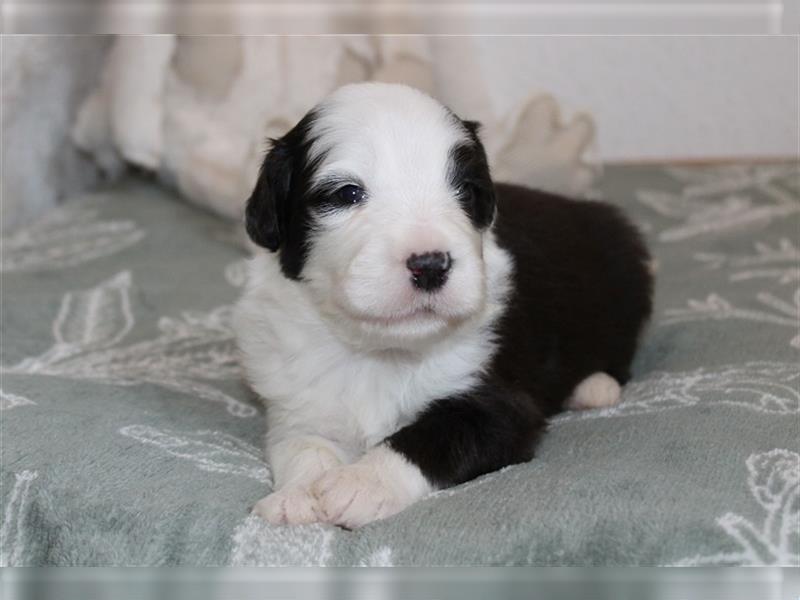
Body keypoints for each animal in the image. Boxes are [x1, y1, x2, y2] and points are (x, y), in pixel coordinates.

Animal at [234, 82, 652, 528]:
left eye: (465, 191)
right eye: (347, 193)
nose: (430, 265)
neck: (381, 352)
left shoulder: (497, 404)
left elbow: (429, 435)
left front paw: (360, 483)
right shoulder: (298, 400)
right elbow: (302, 446)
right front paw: (296, 496)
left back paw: (594, 387)